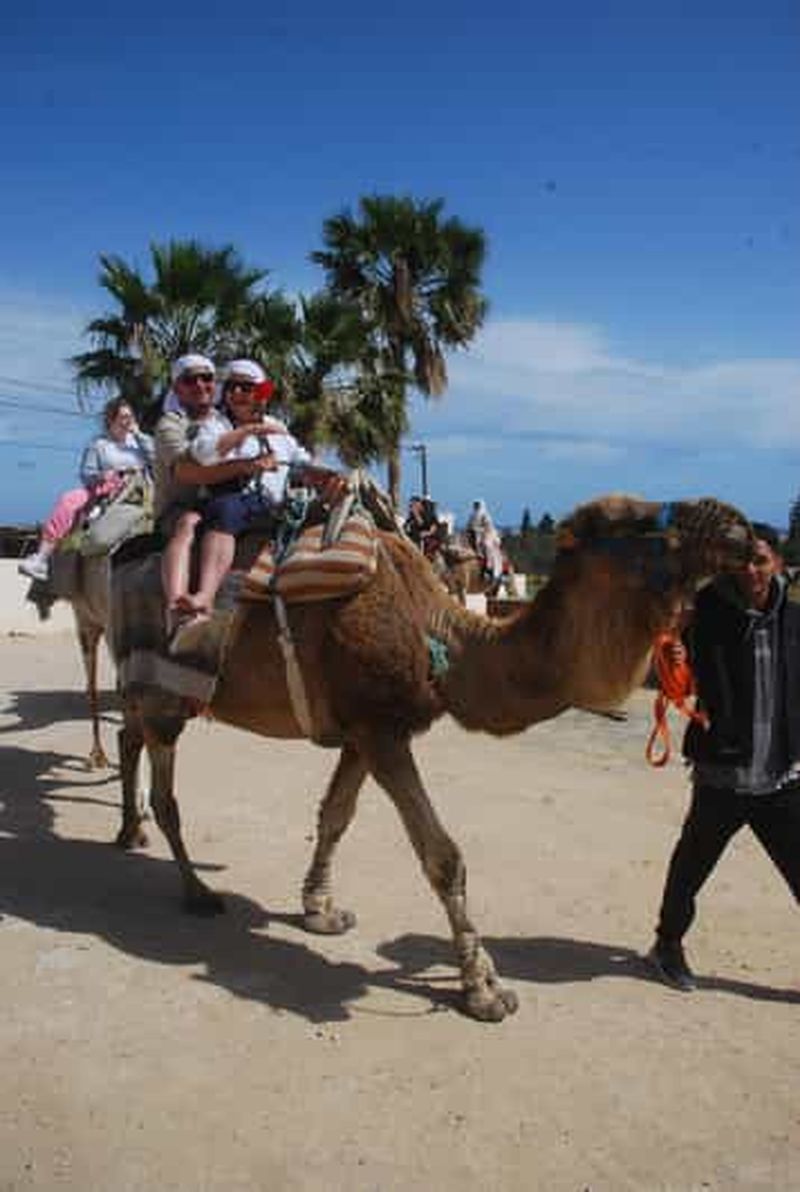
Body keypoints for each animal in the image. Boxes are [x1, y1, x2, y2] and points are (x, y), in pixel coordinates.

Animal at [111, 494, 753, 1022]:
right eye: (639, 522)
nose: (743, 528)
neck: (440, 639)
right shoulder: (381, 733)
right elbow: (444, 858)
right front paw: (484, 989)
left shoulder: (365, 731)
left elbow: (335, 816)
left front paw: (320, 910)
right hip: (165, 688)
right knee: (164, 784)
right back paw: (195, 890)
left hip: (154, 693)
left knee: (129, 739)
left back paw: (129, 834)